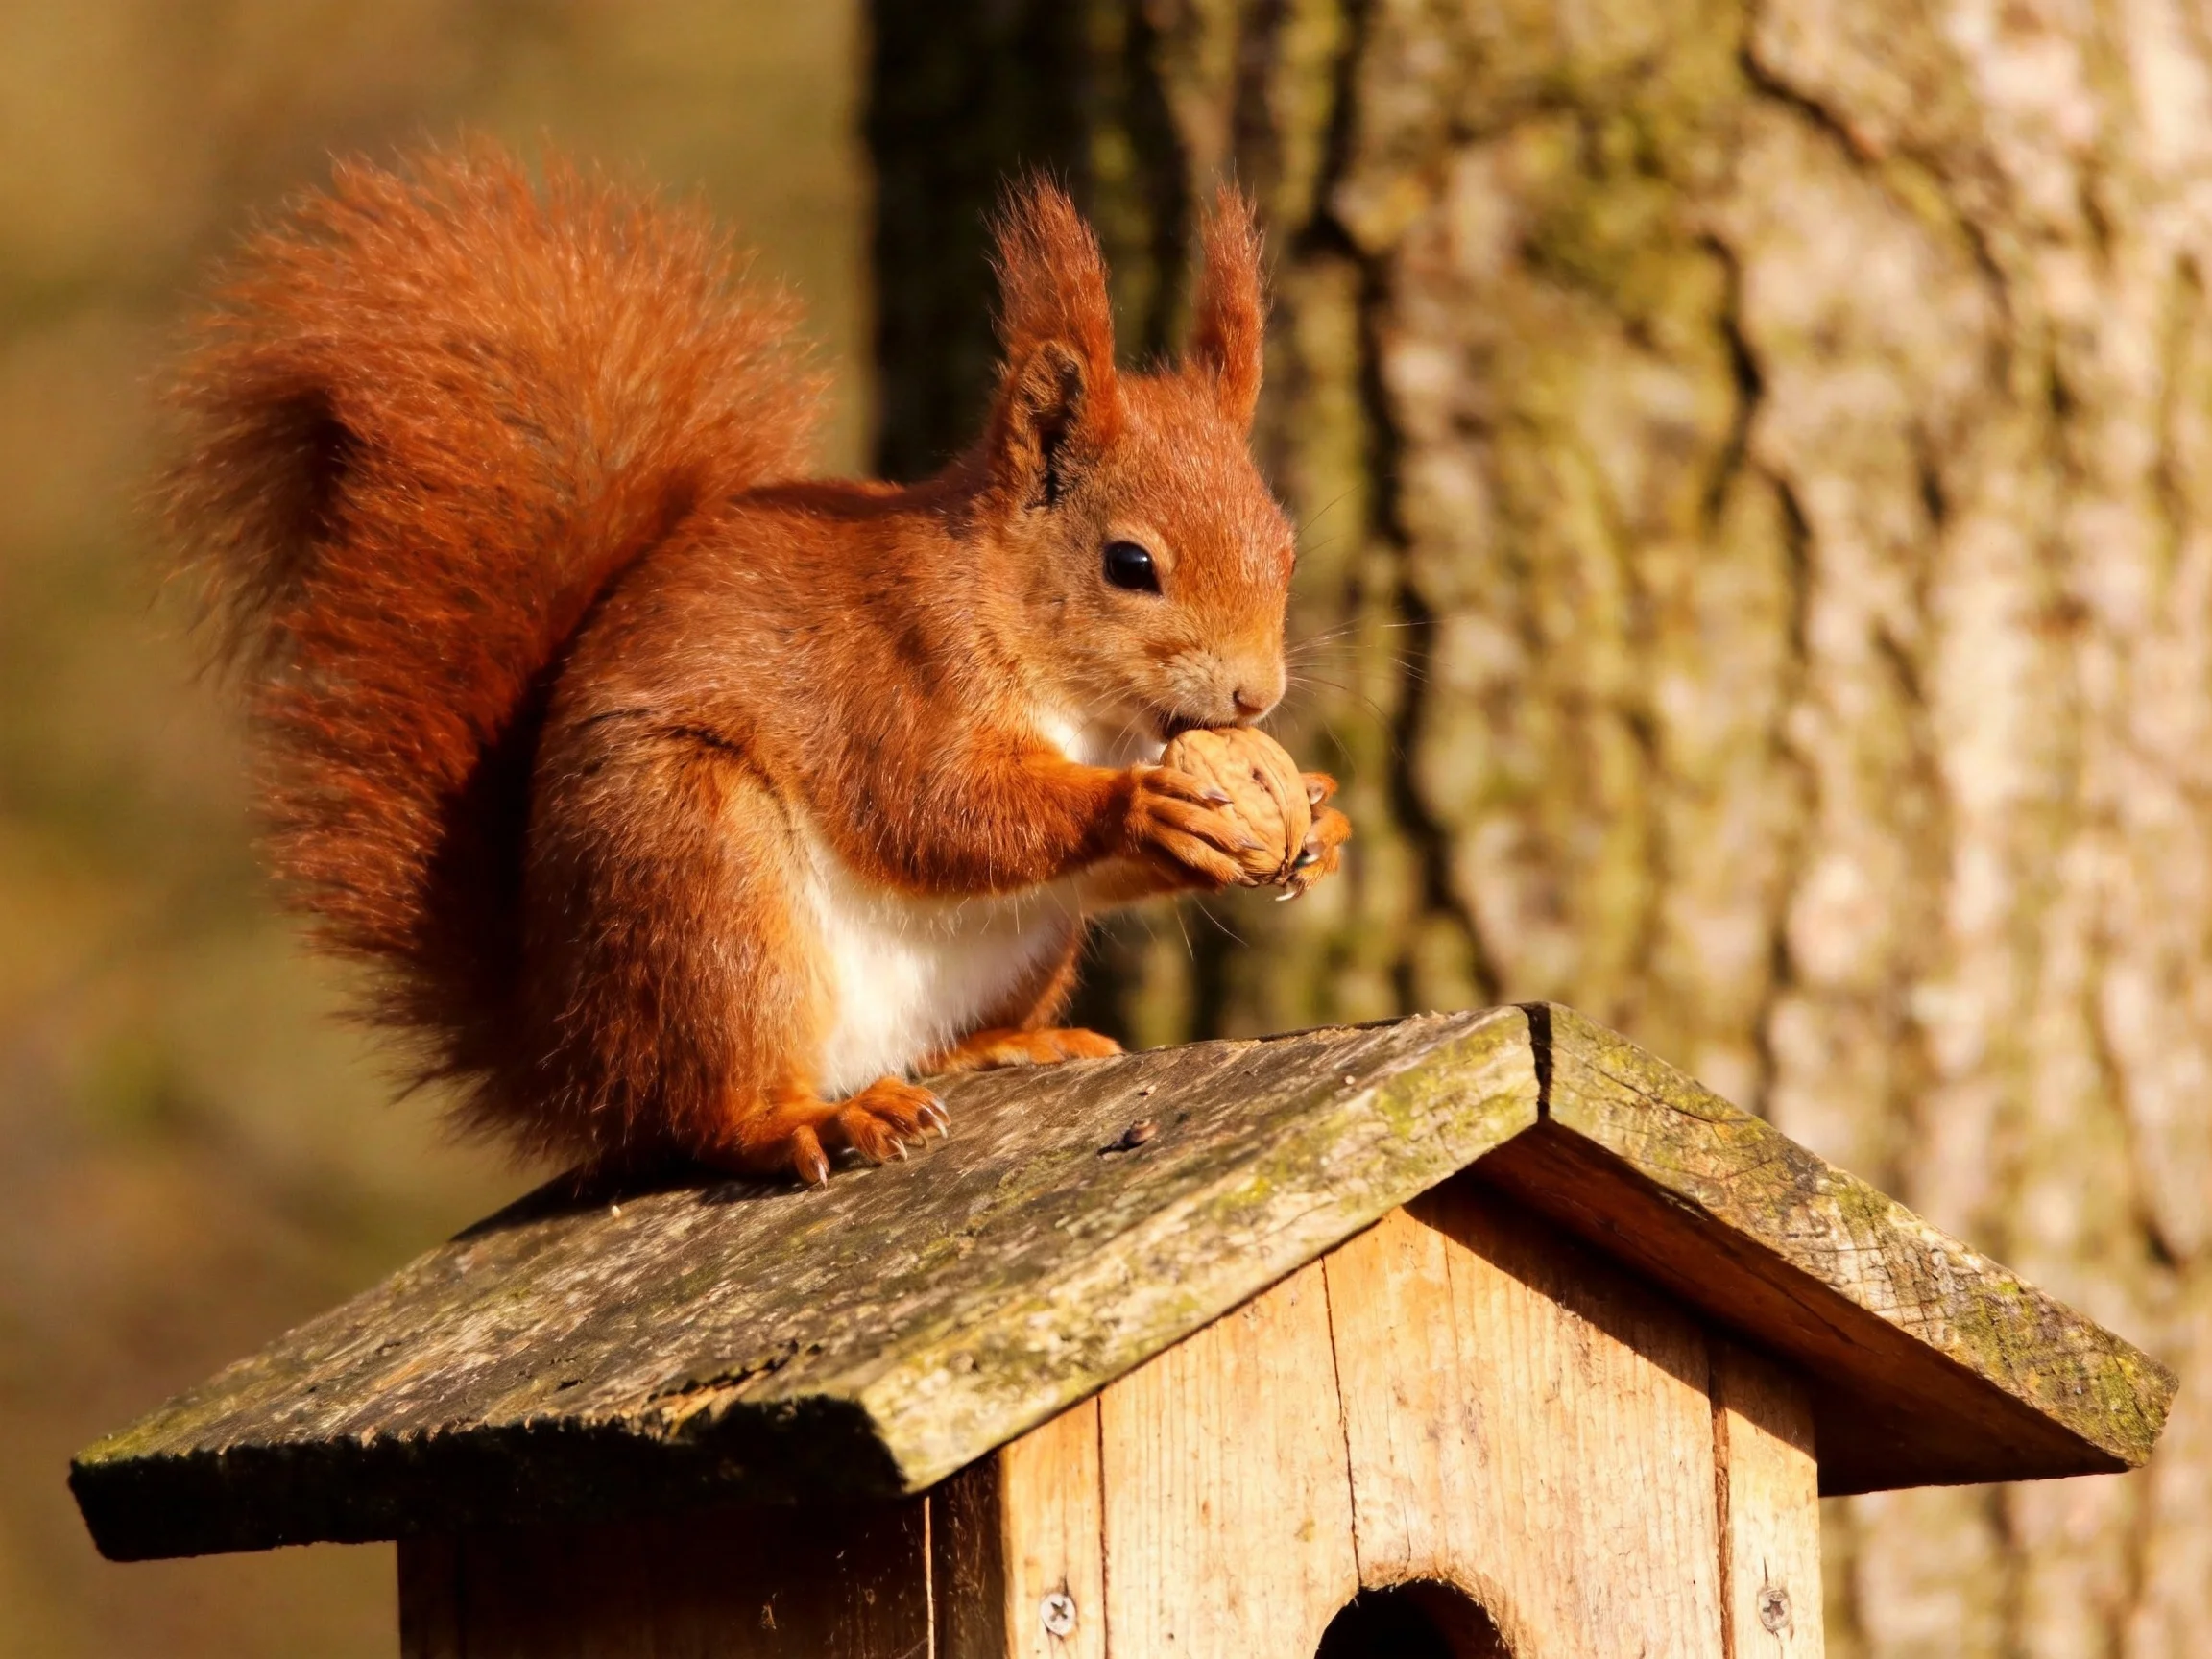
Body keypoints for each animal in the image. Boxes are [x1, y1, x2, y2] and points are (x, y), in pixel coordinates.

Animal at [163, 142, 1349, 1185]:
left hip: (1007, 948)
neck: (1071, 689)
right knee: (708, 1111)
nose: (1255, 695)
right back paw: (806, 1121)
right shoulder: (895, 666)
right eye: (1130, 564)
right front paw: (1146, 807)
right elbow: (935, 810)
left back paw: (1006, 1046)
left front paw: (1317, 816)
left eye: (1288, 546)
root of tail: (566, 1050)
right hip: (697, 877)